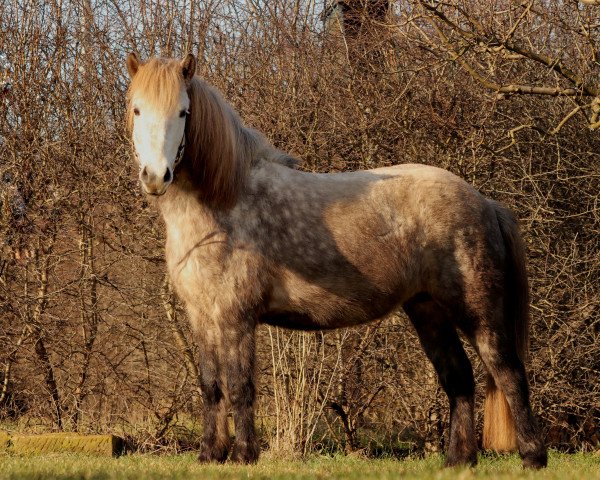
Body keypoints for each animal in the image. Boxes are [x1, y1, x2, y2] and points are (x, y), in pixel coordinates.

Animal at [126, 52, 548, 468]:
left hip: (478, 311)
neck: (224, 203)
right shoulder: (202, 316)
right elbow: (212, 387)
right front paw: (210, 456)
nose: (156, 176)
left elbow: (239, 386)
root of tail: (485, 203)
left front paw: (245, 456)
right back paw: (458, 461)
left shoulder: (235, 315)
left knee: (509, 373)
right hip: (428, 309)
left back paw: (532, 458)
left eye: (183, 112)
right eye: (136, 109)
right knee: (458, 378)